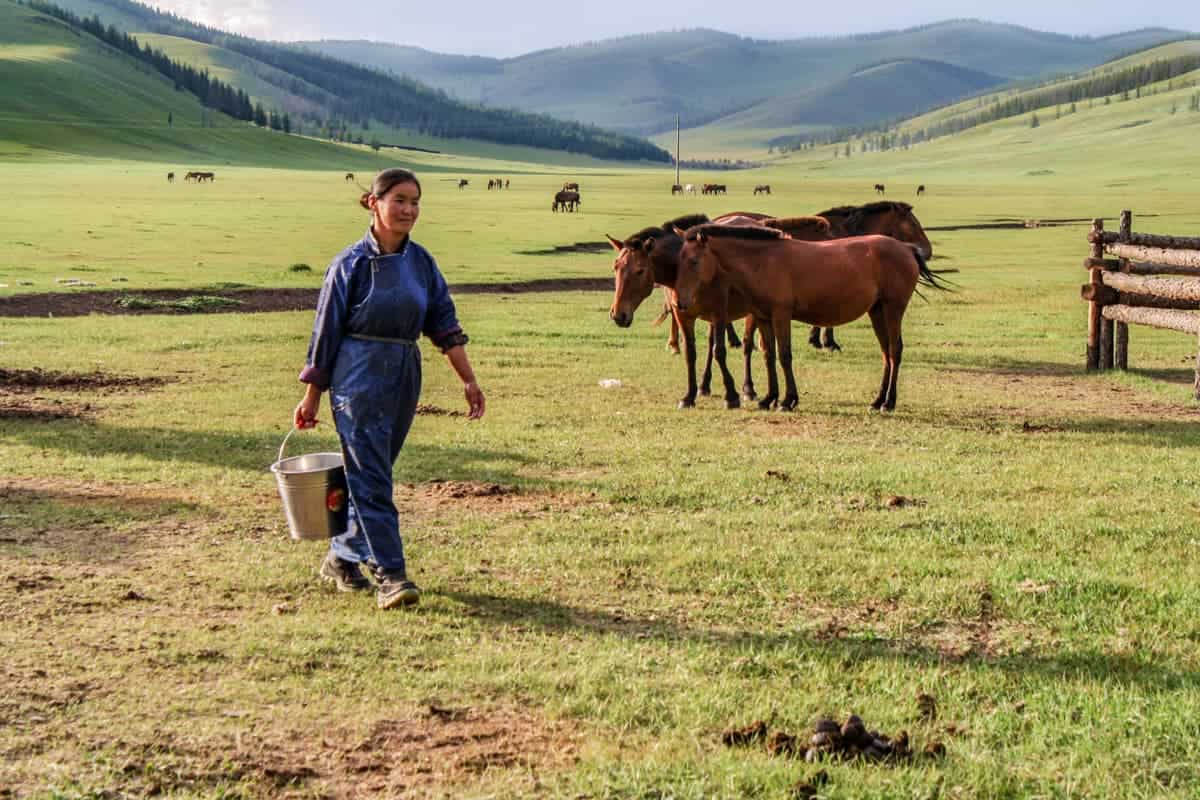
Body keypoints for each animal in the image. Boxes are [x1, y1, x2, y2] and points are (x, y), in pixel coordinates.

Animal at [676, 225, 945, 412]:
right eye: (680, 259)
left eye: (695, 261)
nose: (680, 303)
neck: (763, 261)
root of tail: (906, 248)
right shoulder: (763, 318)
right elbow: (768, 356)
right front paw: (768, 398)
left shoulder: (781, 315)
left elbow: (784, 356)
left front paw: (787, 400)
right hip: (877, 311)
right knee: (886, 353)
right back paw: (878, 401)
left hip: (893, 310)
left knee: (895, 351)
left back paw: (889, 402)